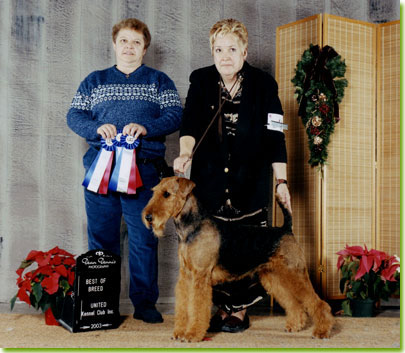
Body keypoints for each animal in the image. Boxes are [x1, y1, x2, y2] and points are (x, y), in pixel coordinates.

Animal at [141, 176, 332, 340]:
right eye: (154, 192)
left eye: (166, 194)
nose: (148, 217)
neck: (192, 227)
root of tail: (286, 229)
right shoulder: (186, 276)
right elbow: (183, 305)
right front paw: (180, 333)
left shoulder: (200, 276)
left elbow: (197, 307)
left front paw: (192, 335)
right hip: (274, 276)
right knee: (293, 303)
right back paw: (295, 325)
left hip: (294, 273)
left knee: (318, 303)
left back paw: (321, 331)